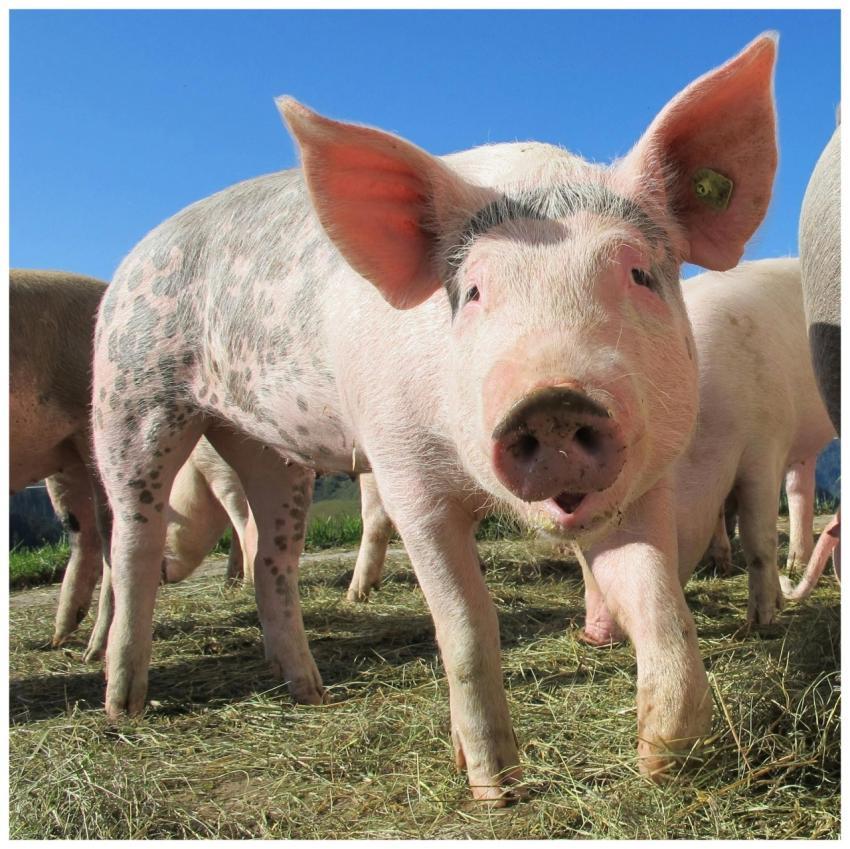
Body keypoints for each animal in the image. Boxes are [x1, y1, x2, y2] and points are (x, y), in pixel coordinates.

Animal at [91, 35, 778, 802]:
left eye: (637, 274)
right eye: (473, 291)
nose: (554, 400)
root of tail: (134, 257)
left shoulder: (645, 479)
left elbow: (659, 604)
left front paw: (665, 763)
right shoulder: (404, 474)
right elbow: (468, 627)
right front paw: (496, 789)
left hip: (268, 448)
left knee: (272, 557)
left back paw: (310, 692)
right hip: (131, 392)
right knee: (135, 542)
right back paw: (123, 706)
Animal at [580, 259, 836, 647]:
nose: (591, 633)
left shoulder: (765, 446)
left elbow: (758, 536)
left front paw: (761, 622)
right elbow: (718, 516)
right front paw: (720, 564)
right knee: (799, 488)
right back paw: (794, 565)